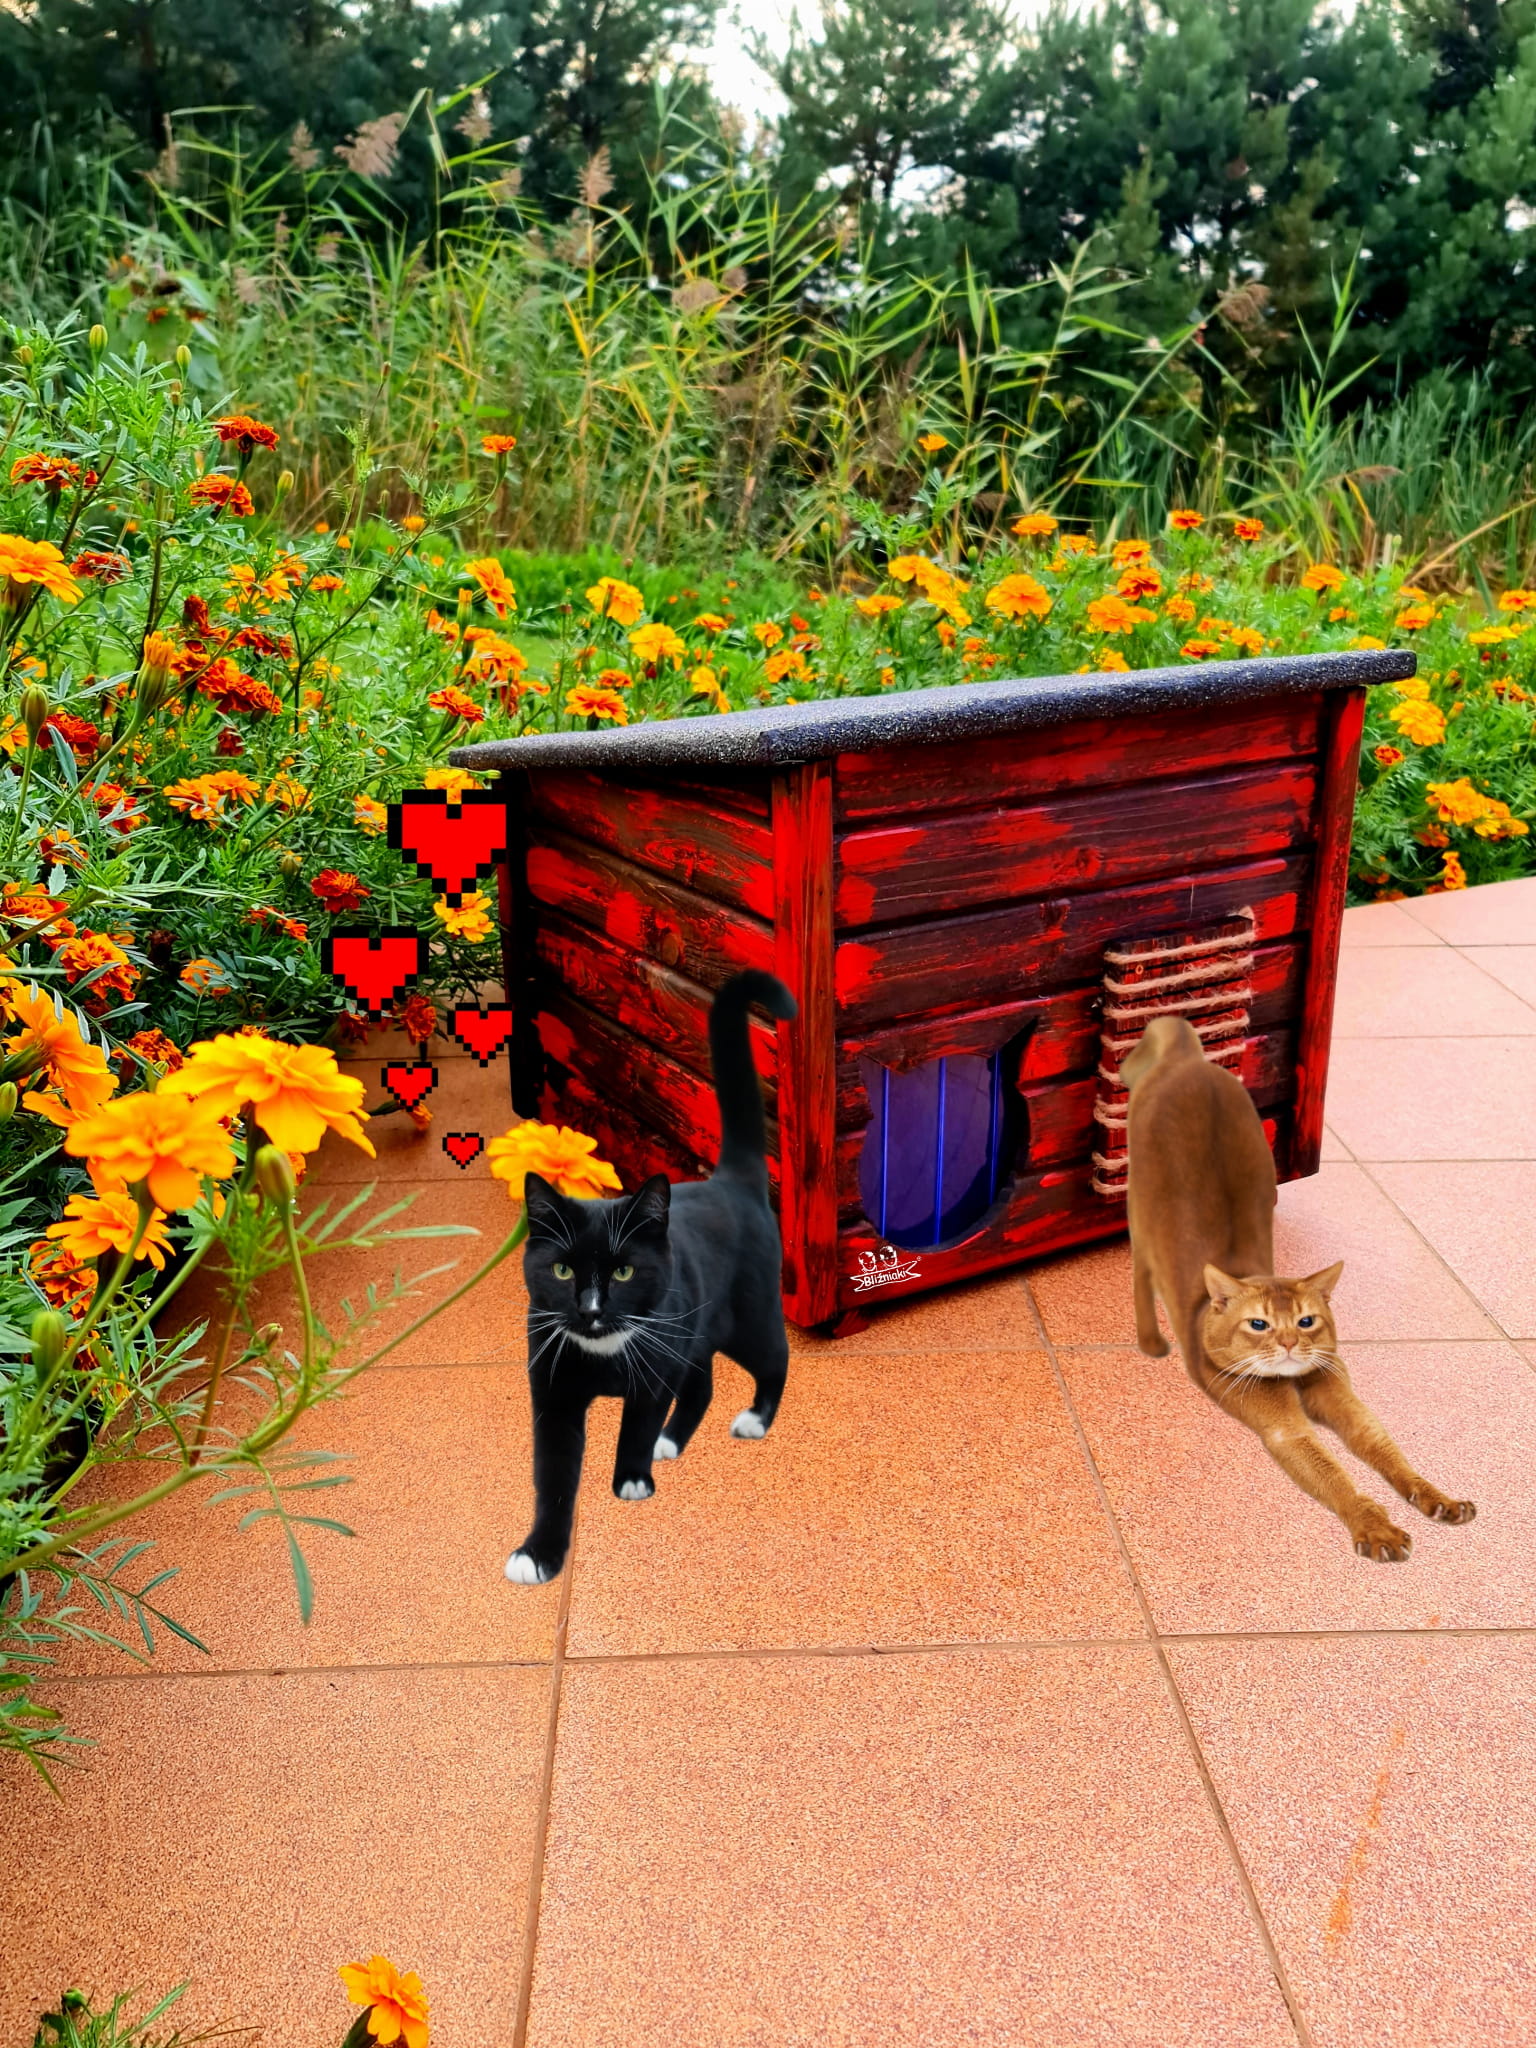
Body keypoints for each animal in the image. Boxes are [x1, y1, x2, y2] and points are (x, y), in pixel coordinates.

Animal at [505, 968, 798, 1584]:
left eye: (623, 1270)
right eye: (561, 1268)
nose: (591, 1309)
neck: (603, 1353)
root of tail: (731, 1180)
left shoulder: (656, 1363)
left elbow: (638, 1420)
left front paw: (632, 1479)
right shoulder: (552, 1387)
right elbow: (553, 1473)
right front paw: (539, 1552)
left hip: (747, 1316)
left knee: (774, 1357)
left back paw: (755, 1420)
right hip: (695, 1329)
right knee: (703, 1381)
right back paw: (673, 1440)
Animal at [1123, 1014, 1475, 1560]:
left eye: (1307, 1321)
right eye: (1259, 1324)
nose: (1289, 1342)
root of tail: (1186, 1057)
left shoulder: (1346, 1400)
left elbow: (1387, 1450)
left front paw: (1438, 1498)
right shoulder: (1283, 1428)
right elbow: (1334, 1475)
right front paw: (1375, 1528)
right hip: (1138, 1202)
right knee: (1141, 1269)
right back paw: (1152, 1341)